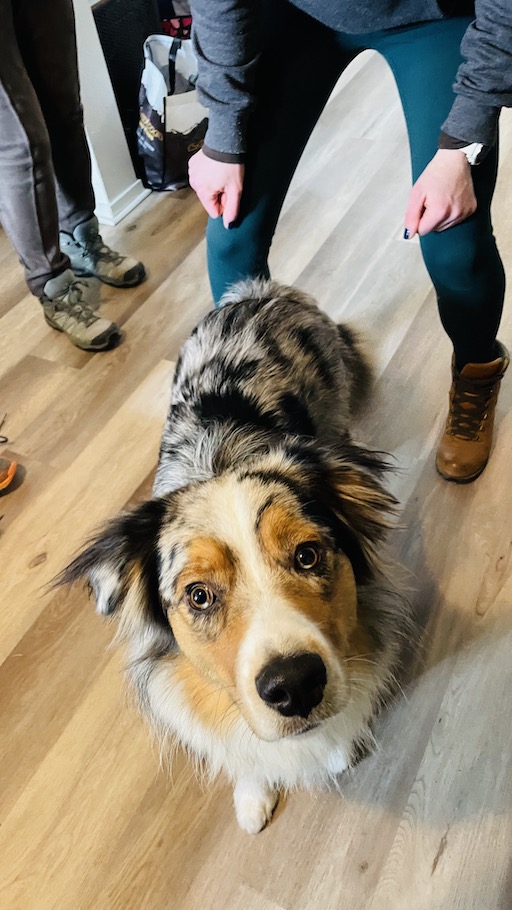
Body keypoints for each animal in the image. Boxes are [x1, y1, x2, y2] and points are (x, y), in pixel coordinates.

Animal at [60, 280, 410, 834]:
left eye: (307, 555)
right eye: (199, 595)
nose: (295, 685)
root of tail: (262, 289)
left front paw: (337, 749)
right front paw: (252, 792)